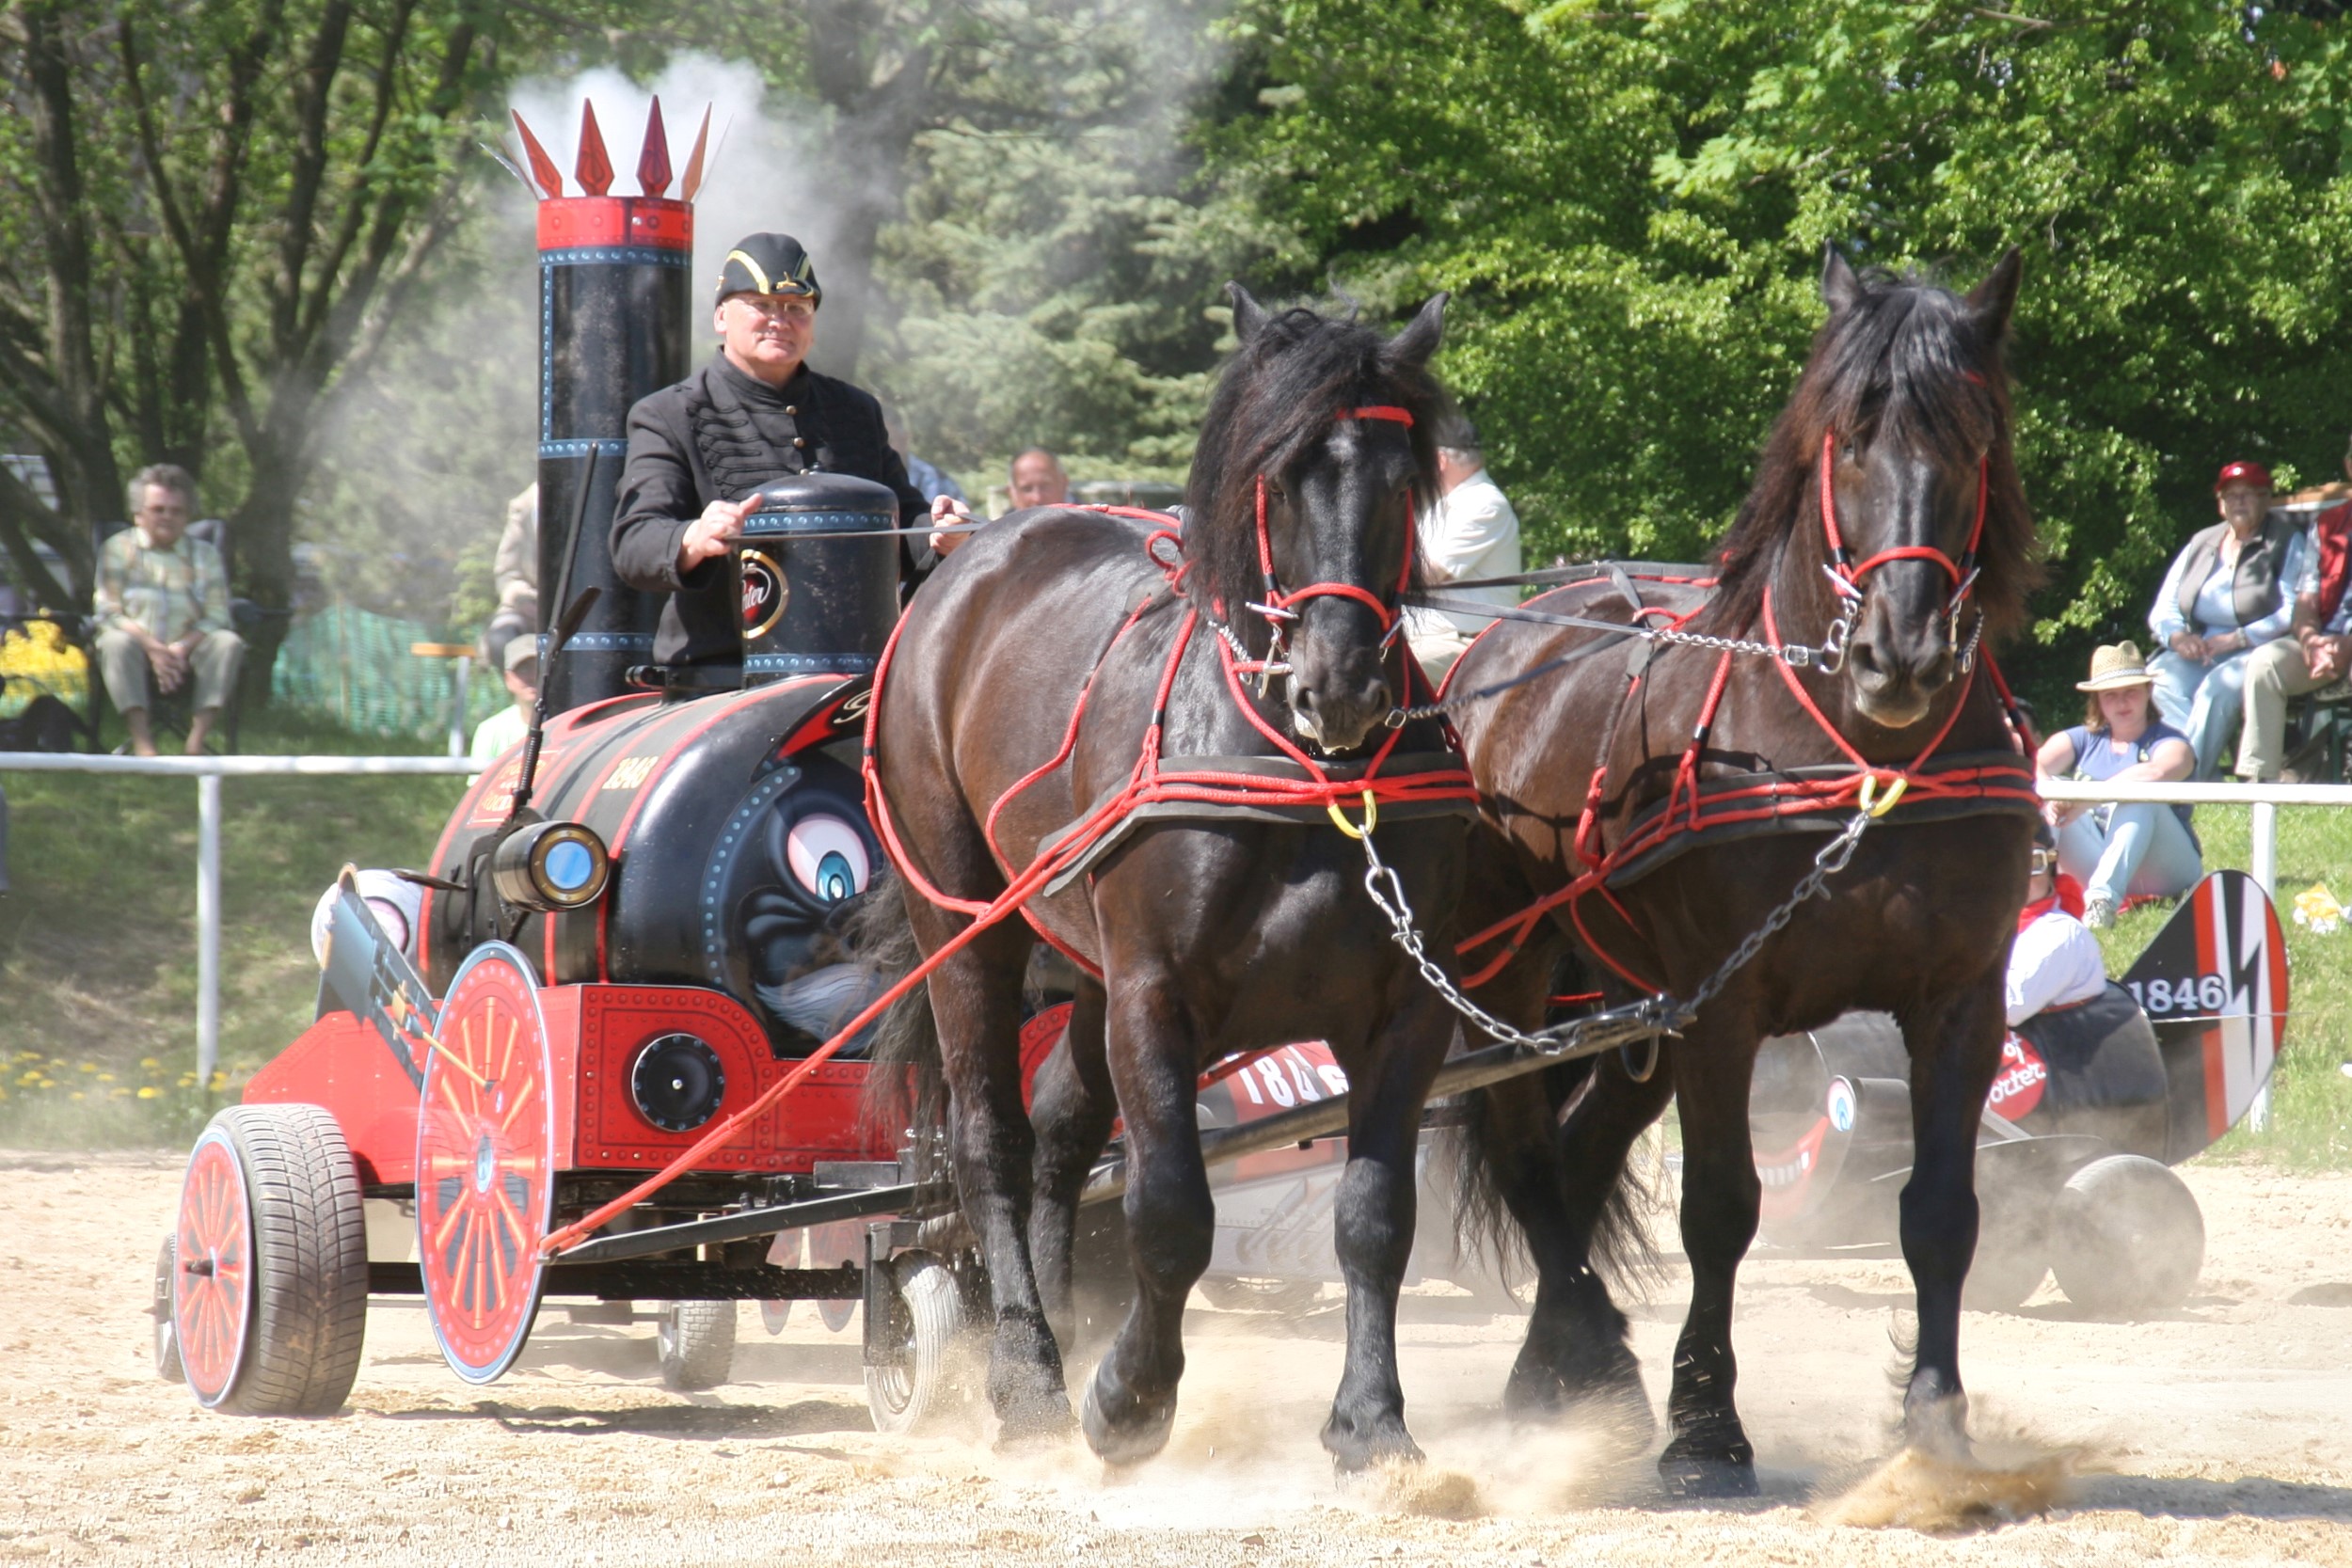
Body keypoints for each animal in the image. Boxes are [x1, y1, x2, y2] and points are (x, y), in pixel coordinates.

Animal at [866, 285, 1468, 1476]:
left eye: (1399, 476)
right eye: (1272, 474)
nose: (1339, 683)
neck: (1299, 768)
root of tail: (969, 559)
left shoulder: (1401, 1011)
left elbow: (1376, 1214)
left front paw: (1371, 1421)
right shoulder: (1156, 994)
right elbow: (1172, 1209)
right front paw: (1130, 1398)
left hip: (1085, 963)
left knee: (1059, 1129)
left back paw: (1058, 1318)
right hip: (968, 925)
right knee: (992, 1139)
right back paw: (1028, 1373)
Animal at [1439, 247, 2032, 1495]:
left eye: (1969, 438)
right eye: (1847, 436)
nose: (1901, 653)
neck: (1856, 755)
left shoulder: (1961, 998)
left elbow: (1941, 1212)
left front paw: (1934, 1419)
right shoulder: (1723, 1007)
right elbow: (1719, 1208)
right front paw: (1706, 1426)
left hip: (1628, 1001)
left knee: (1576, 1155)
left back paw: (1555, 1370)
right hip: (1510, 980)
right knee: (1528, 1160)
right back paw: (1594, 1361)